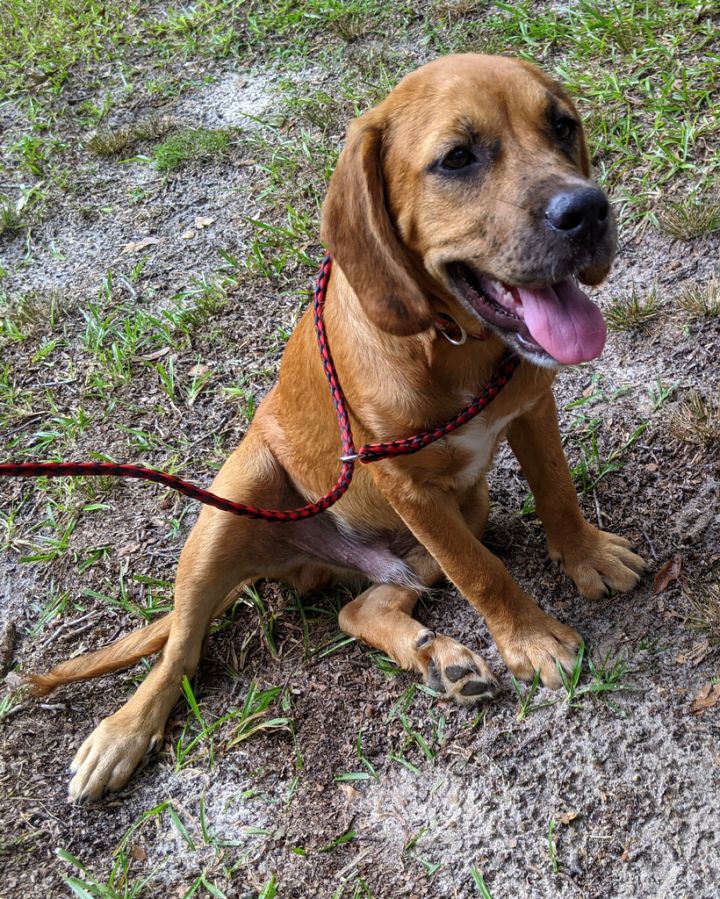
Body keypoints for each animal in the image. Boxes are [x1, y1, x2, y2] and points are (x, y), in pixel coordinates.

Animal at [28, 54, 648, 800]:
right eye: (458, 158)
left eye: (562, 125)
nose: (587, 210)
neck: (450, 347)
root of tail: (307, 564)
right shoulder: (407, 484)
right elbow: (485, 574)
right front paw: (531, 639)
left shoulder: (529, 411)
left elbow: (556, 493)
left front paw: (586, 557)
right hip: (231, 505)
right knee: (181, 648)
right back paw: (122, 732)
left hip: (456, 513)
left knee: (365, 609)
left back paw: (438, 658)